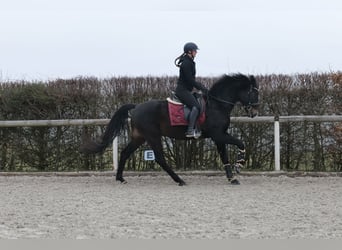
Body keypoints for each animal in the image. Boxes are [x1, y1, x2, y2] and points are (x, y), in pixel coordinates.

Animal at [81, 73, 260, 185]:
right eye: (254, 93)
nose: (255, 113)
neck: (217, 104)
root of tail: (137, 106)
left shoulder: (219, 137)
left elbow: (224, 157)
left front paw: (232, 178)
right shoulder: (219, 135)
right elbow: (240, 143)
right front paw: (239, 165)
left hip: (139, 137)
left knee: (125, 153)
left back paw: (121, 179)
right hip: (152, 136)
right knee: (160, 158)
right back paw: (179, 180)